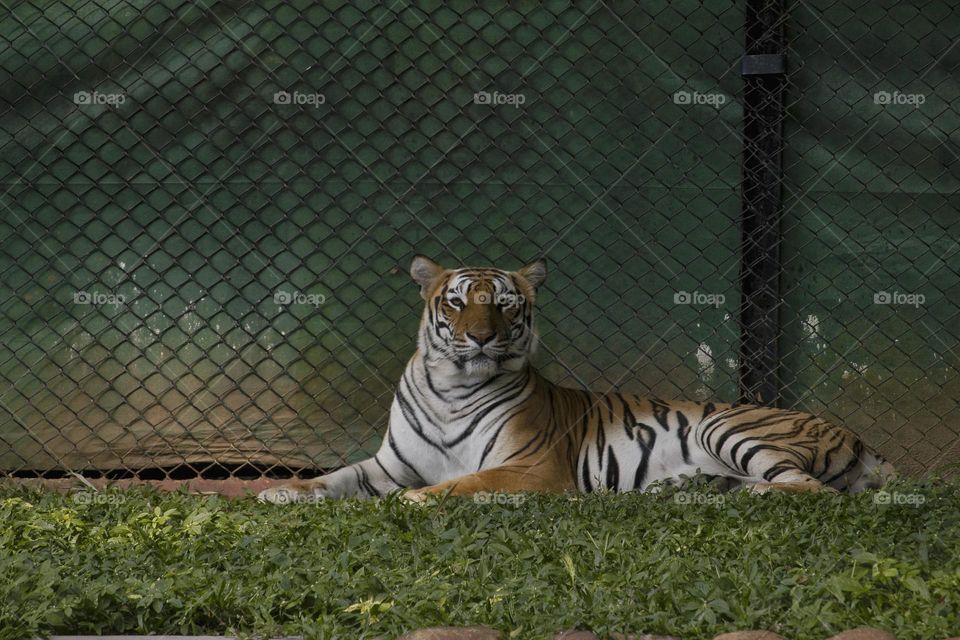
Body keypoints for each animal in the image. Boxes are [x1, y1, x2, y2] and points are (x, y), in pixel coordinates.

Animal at [258, 256, 895, 504]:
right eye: (458, 301)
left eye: (506, 304)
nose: (481, 338)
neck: (451, 390)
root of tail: (859, 437)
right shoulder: (388, 463)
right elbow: (336, 477)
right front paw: (282, 491)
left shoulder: (531, 467)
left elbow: (465, 483)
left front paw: (417, 500)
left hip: (730, 429)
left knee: (807, 489)